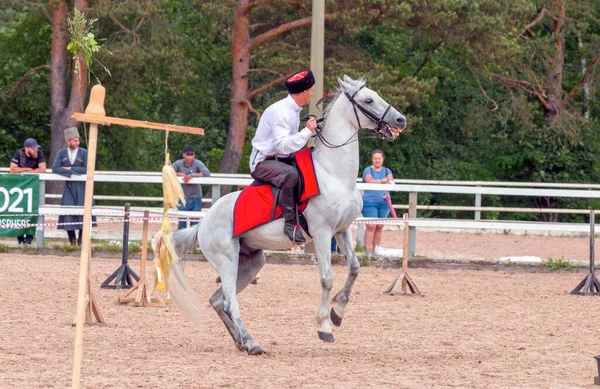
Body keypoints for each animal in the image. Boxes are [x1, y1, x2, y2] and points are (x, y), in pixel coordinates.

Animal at [163, 74, 408, 354]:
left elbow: (355, 268)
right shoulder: (323, 234)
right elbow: (327, 279)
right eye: (368, 100)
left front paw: (337, 312)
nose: (400, 120)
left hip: (251, 263)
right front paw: (324, 327)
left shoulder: (342, 230)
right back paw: (252, 344)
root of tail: (201, 225)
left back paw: (243, 341)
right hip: (227, 261)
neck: (334, 174)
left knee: (218, 301)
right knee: (228, 303)